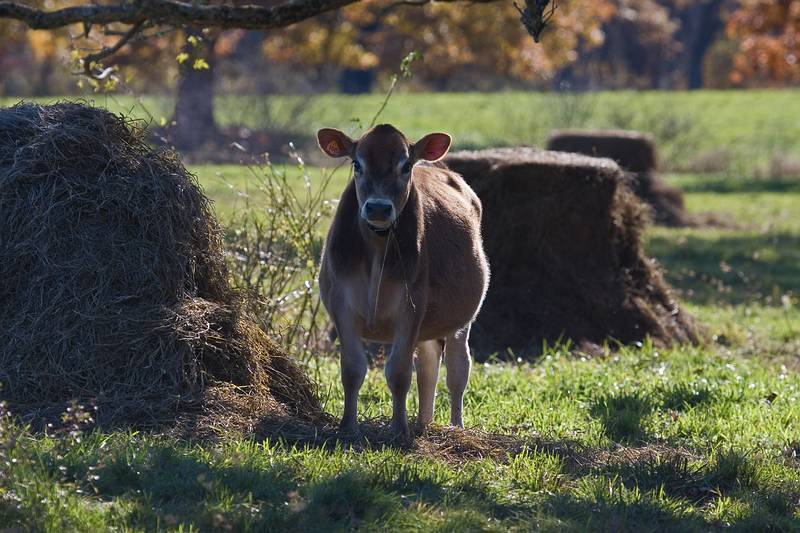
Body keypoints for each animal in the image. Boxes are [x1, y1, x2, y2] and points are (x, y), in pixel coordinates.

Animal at [316, 124, 490, 440]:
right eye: (357, 164)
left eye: (406, 166)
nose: (378, 208)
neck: (376, 248)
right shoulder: (341, 305)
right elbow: (352, 370)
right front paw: (348, 427)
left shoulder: (411, 308)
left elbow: (398, 372)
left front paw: (399, 430)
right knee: (428, 367)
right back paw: (423, 422)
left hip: (461, 319)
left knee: (457, 370)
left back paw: (455, 426)